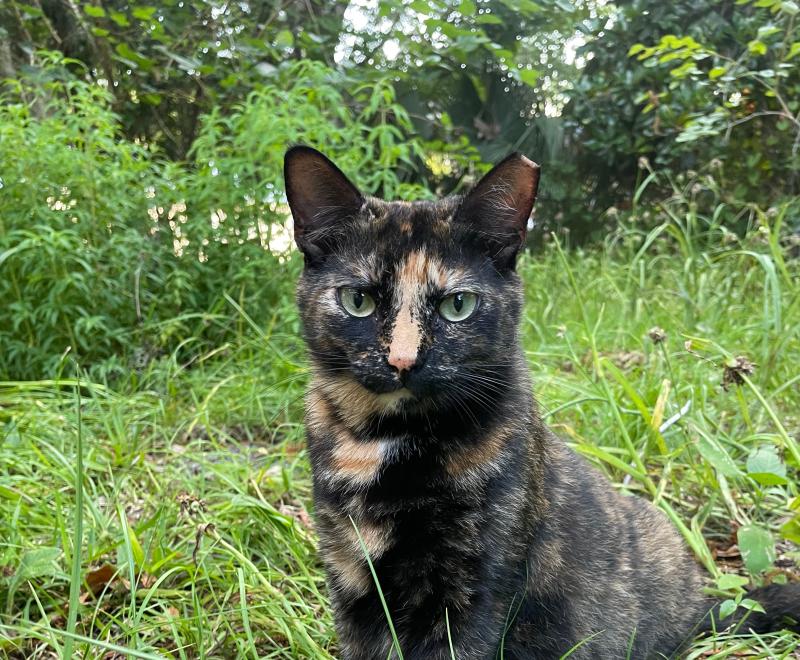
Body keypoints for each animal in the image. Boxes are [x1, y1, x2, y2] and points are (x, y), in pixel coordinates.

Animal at [282, 146, 800, 660]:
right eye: (358, 300)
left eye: (458, 305)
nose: (403, 360)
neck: (385, 439)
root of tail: (703, 607)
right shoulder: (348, 571)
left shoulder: (475, 584)